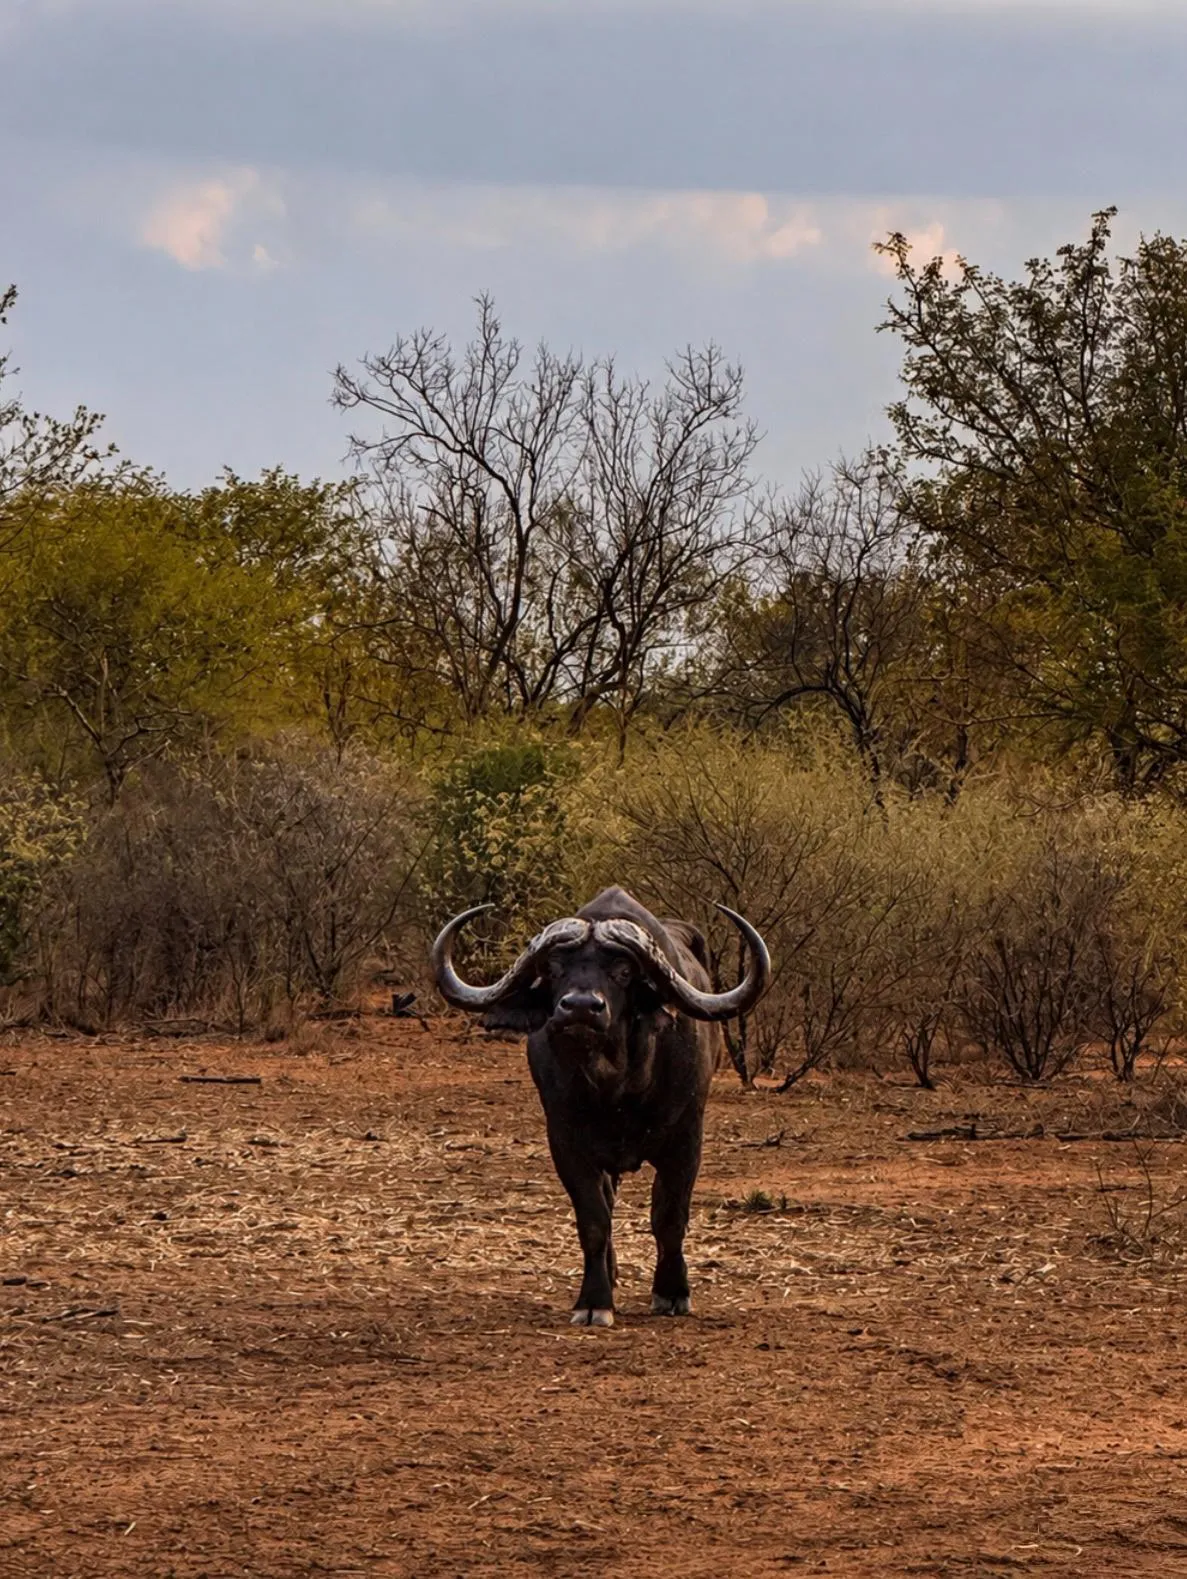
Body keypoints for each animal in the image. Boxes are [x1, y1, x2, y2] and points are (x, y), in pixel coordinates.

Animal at [431, 886, 771, 1327]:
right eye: (554, 968)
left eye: (623, 972)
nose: (579, 1007)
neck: (616, 1088)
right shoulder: (566, 1142)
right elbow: (594, 1219)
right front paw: (594, 1299)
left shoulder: (686, 1139)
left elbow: (670, 1217)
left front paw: (672, 1292)